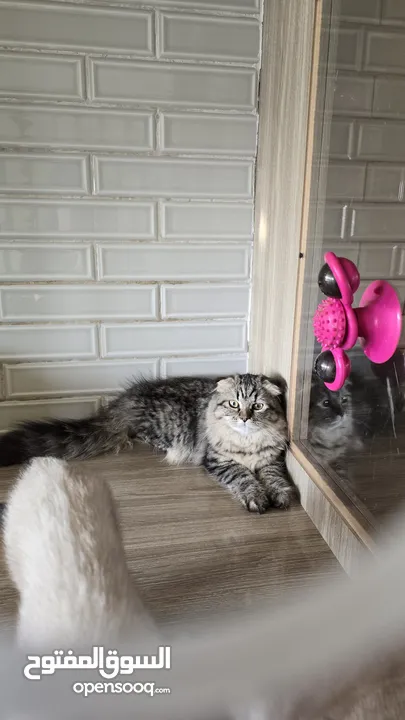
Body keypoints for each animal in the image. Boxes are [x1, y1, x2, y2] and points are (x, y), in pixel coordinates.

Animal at [0, 374, 294, 516]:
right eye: (234, 404)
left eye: (258, 406)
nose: (244, 418)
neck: (248, 442)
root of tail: (125, 401)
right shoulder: (219, 460)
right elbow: (243, 477)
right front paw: (256, 496)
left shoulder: (271, 460)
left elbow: (275, 478)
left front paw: (280, 495)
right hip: (170, 426)